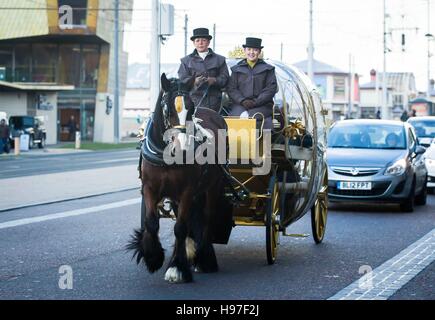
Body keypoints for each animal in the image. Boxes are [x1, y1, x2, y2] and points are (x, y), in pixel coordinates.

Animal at [127, 73, 232, 282]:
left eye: (191, 108)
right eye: (167, 108)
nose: (183, 146)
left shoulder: (187, 191)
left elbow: (180, 228)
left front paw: (176, 267)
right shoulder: (149, 188)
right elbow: (152, 223)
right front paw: (153, 257)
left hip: (212, 188)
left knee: (206, 218)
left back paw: (204, 259)